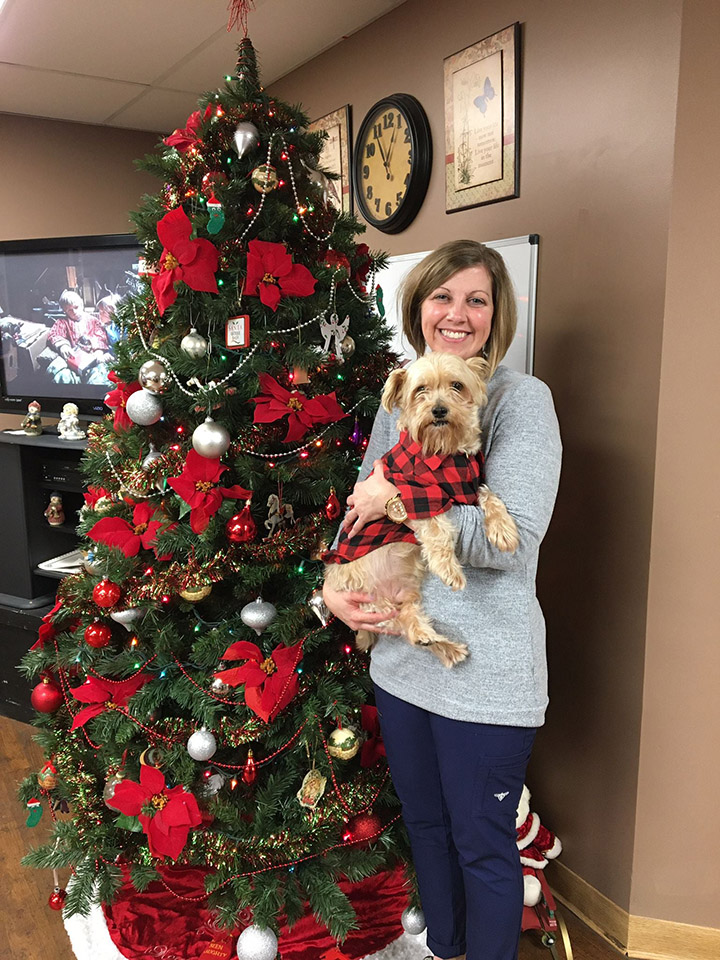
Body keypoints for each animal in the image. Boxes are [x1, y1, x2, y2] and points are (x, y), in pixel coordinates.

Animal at [324, 352, 516, 668]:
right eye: (420, 390)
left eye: (457, 385)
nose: (439, 410)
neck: (446, 451)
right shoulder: (416, 495)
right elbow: (436, 527)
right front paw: (449, 569)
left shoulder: (470, 488)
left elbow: (490, 496)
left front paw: (503, 529)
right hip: (368, 601)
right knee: (400, 623)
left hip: (403, 598)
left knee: (409, 624)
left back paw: (442, 645)